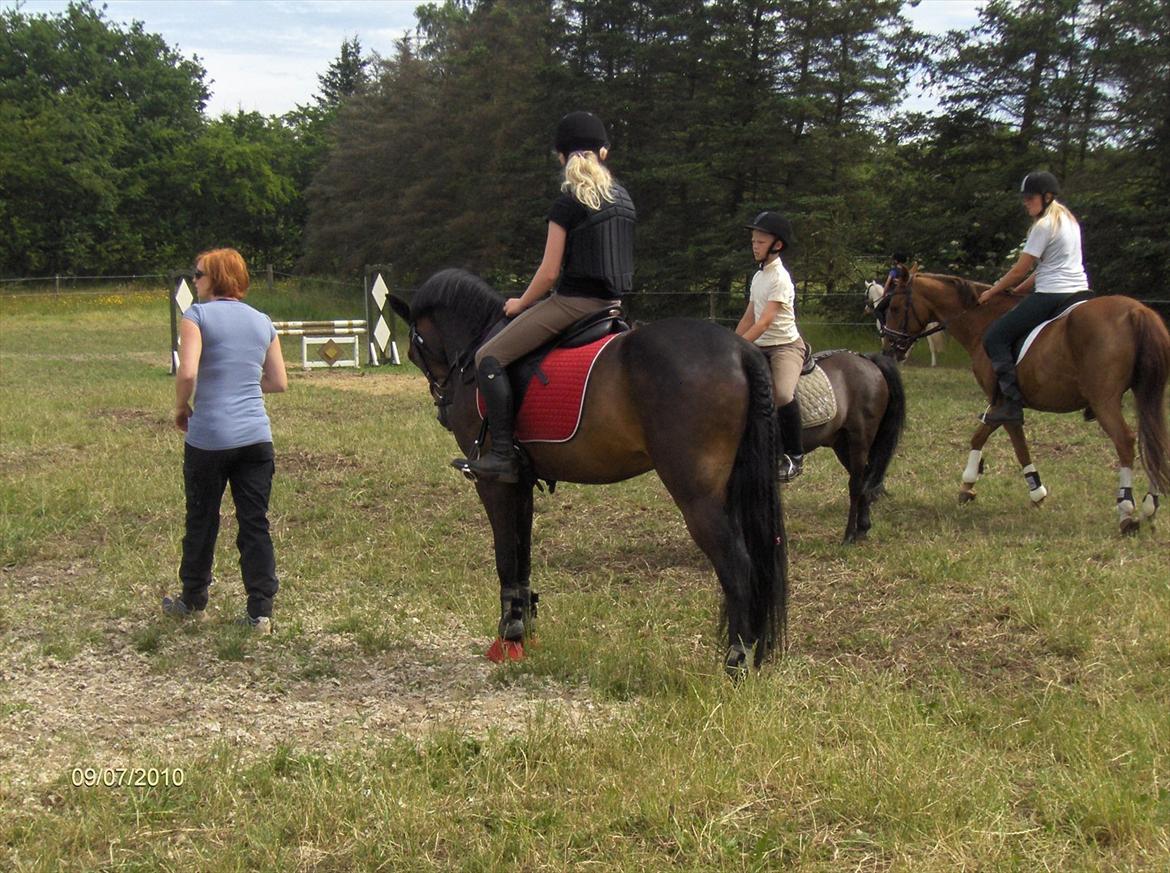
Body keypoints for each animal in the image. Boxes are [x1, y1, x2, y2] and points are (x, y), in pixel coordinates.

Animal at [389, 269, 787, 675]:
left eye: (414, 351)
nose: (443, 411)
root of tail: (741, 349)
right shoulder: (520, 483)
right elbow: (522, 553)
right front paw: (522, 629)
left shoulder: (492, 483)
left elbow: (505, 555)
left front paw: (508, 635)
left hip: (698, 497)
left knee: (738, 566)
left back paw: (736, 661)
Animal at [793, 350, 906, 543]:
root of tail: (868, 360)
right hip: (841, 443)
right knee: (865, 478)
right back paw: (862, 527)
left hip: (859, 440)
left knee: (856, 485)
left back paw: (849, 535)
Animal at [879, 272, 1170, 534]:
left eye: (894, 307)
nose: (889, 348)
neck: (982, 320)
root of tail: (1136, 311)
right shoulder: (1002, 405)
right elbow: (984, 437)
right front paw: (972, 486)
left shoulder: (1004, 403)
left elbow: (1010, 443)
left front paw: (1030, 491)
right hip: (1146, 394)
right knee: (1153, 440)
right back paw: (1150, 505)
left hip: (1104, 400)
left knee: (1126, 442)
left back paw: (1126, 511)